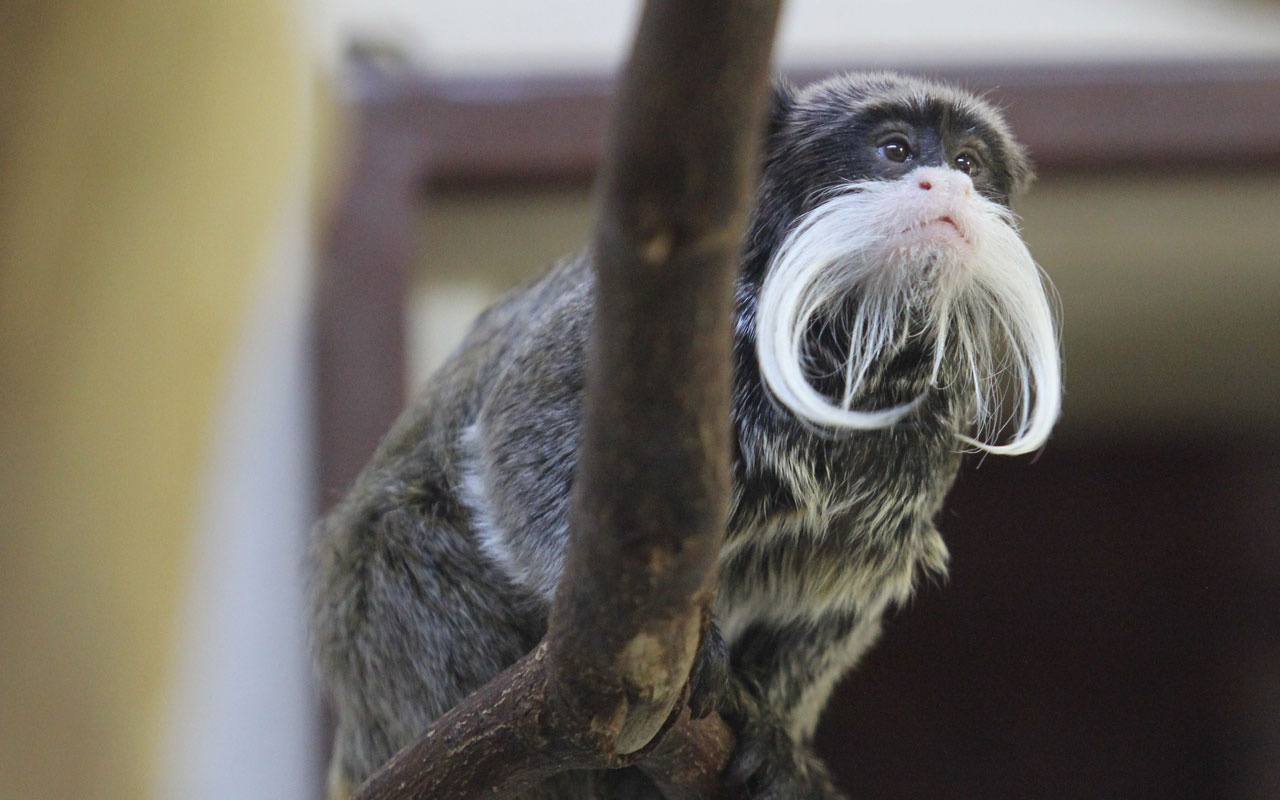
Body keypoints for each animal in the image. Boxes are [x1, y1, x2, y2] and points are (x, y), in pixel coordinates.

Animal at [307, 71, 1059, 793]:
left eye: (967, 162)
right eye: (896, 150)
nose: (950, 185)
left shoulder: (910, 461)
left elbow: (837, 591)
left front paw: (775, 730)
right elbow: (517, 434)